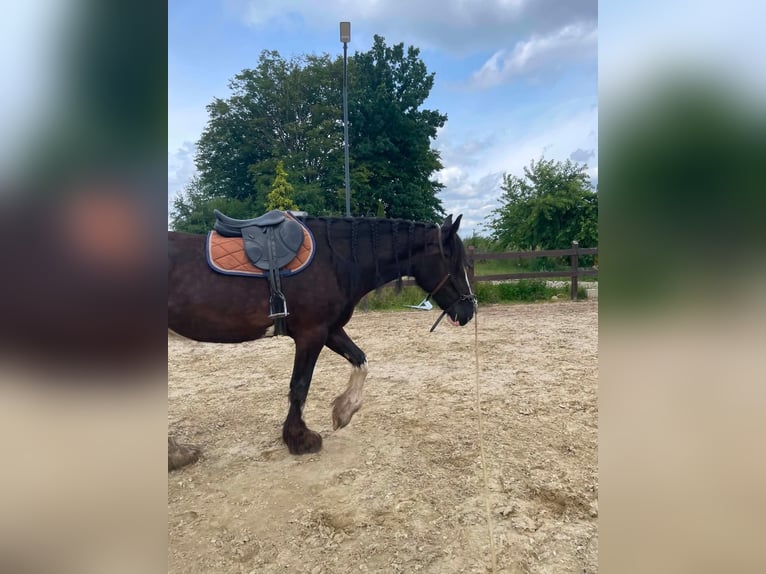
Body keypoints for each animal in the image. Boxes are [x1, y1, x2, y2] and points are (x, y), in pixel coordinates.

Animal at [168, 213, 475, 466]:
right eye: (456, 262)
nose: (469, 311)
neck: (336, 260)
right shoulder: (311, 334)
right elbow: (300, 386)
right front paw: (300, 439)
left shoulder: (331, 330)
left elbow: (361, 361)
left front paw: (343, 411)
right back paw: (176, 454)